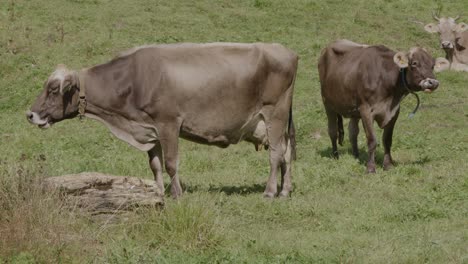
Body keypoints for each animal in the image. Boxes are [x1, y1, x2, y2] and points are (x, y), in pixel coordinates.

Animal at [27, 42, 298, 197]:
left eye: (53, 89)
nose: (30, 114)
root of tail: (286, 51)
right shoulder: (149, 129)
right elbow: (155, 165)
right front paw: (156, 193)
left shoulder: (169, 124)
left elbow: (170, 164)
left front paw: (177, 194)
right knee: (285, 152)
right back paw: (285, 190)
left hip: (275, 114)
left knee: (275, 154)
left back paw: (270, 192)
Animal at [316, 38, 440, 172]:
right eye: (414, 63)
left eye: (432, 65)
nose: (433, 82)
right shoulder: (366, 110)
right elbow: (372, 140)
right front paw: (370, 168)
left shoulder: (394, 112)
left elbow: (387, 140)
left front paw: (388, 165)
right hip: (328, 104)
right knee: (333, 131)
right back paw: (335, 156)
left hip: (353, 110)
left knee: (353, 132)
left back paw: (356, 156)